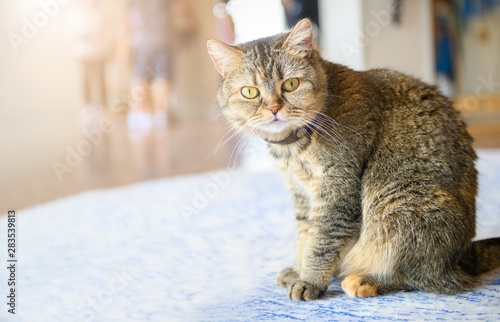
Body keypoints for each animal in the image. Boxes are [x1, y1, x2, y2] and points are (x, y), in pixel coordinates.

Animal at [205, 18, 498, 300]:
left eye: (290, 84)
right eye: (250, 92)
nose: (274, 108)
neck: (293, 151)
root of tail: (463, 256)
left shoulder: (338, 190)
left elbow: (321, 240)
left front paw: (310, 279)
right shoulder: (301, 193)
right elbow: (305, 235)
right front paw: (299, 269)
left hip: (400, 203)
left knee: (429, 279)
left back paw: (368, 281)